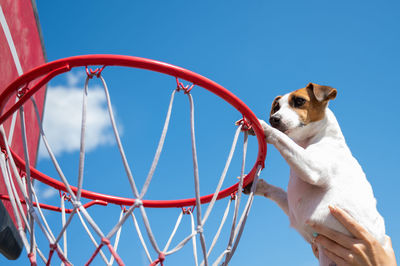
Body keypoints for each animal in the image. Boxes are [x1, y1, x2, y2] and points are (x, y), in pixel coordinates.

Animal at [244, 83, 384, 266]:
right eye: (276, 107)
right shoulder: (292, 208)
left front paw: (262, 126)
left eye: (299, 101)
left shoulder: (312, 168)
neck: (311, 140)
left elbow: (282, 138)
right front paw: (257, 185)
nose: (273, 119)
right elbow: (277, 191)